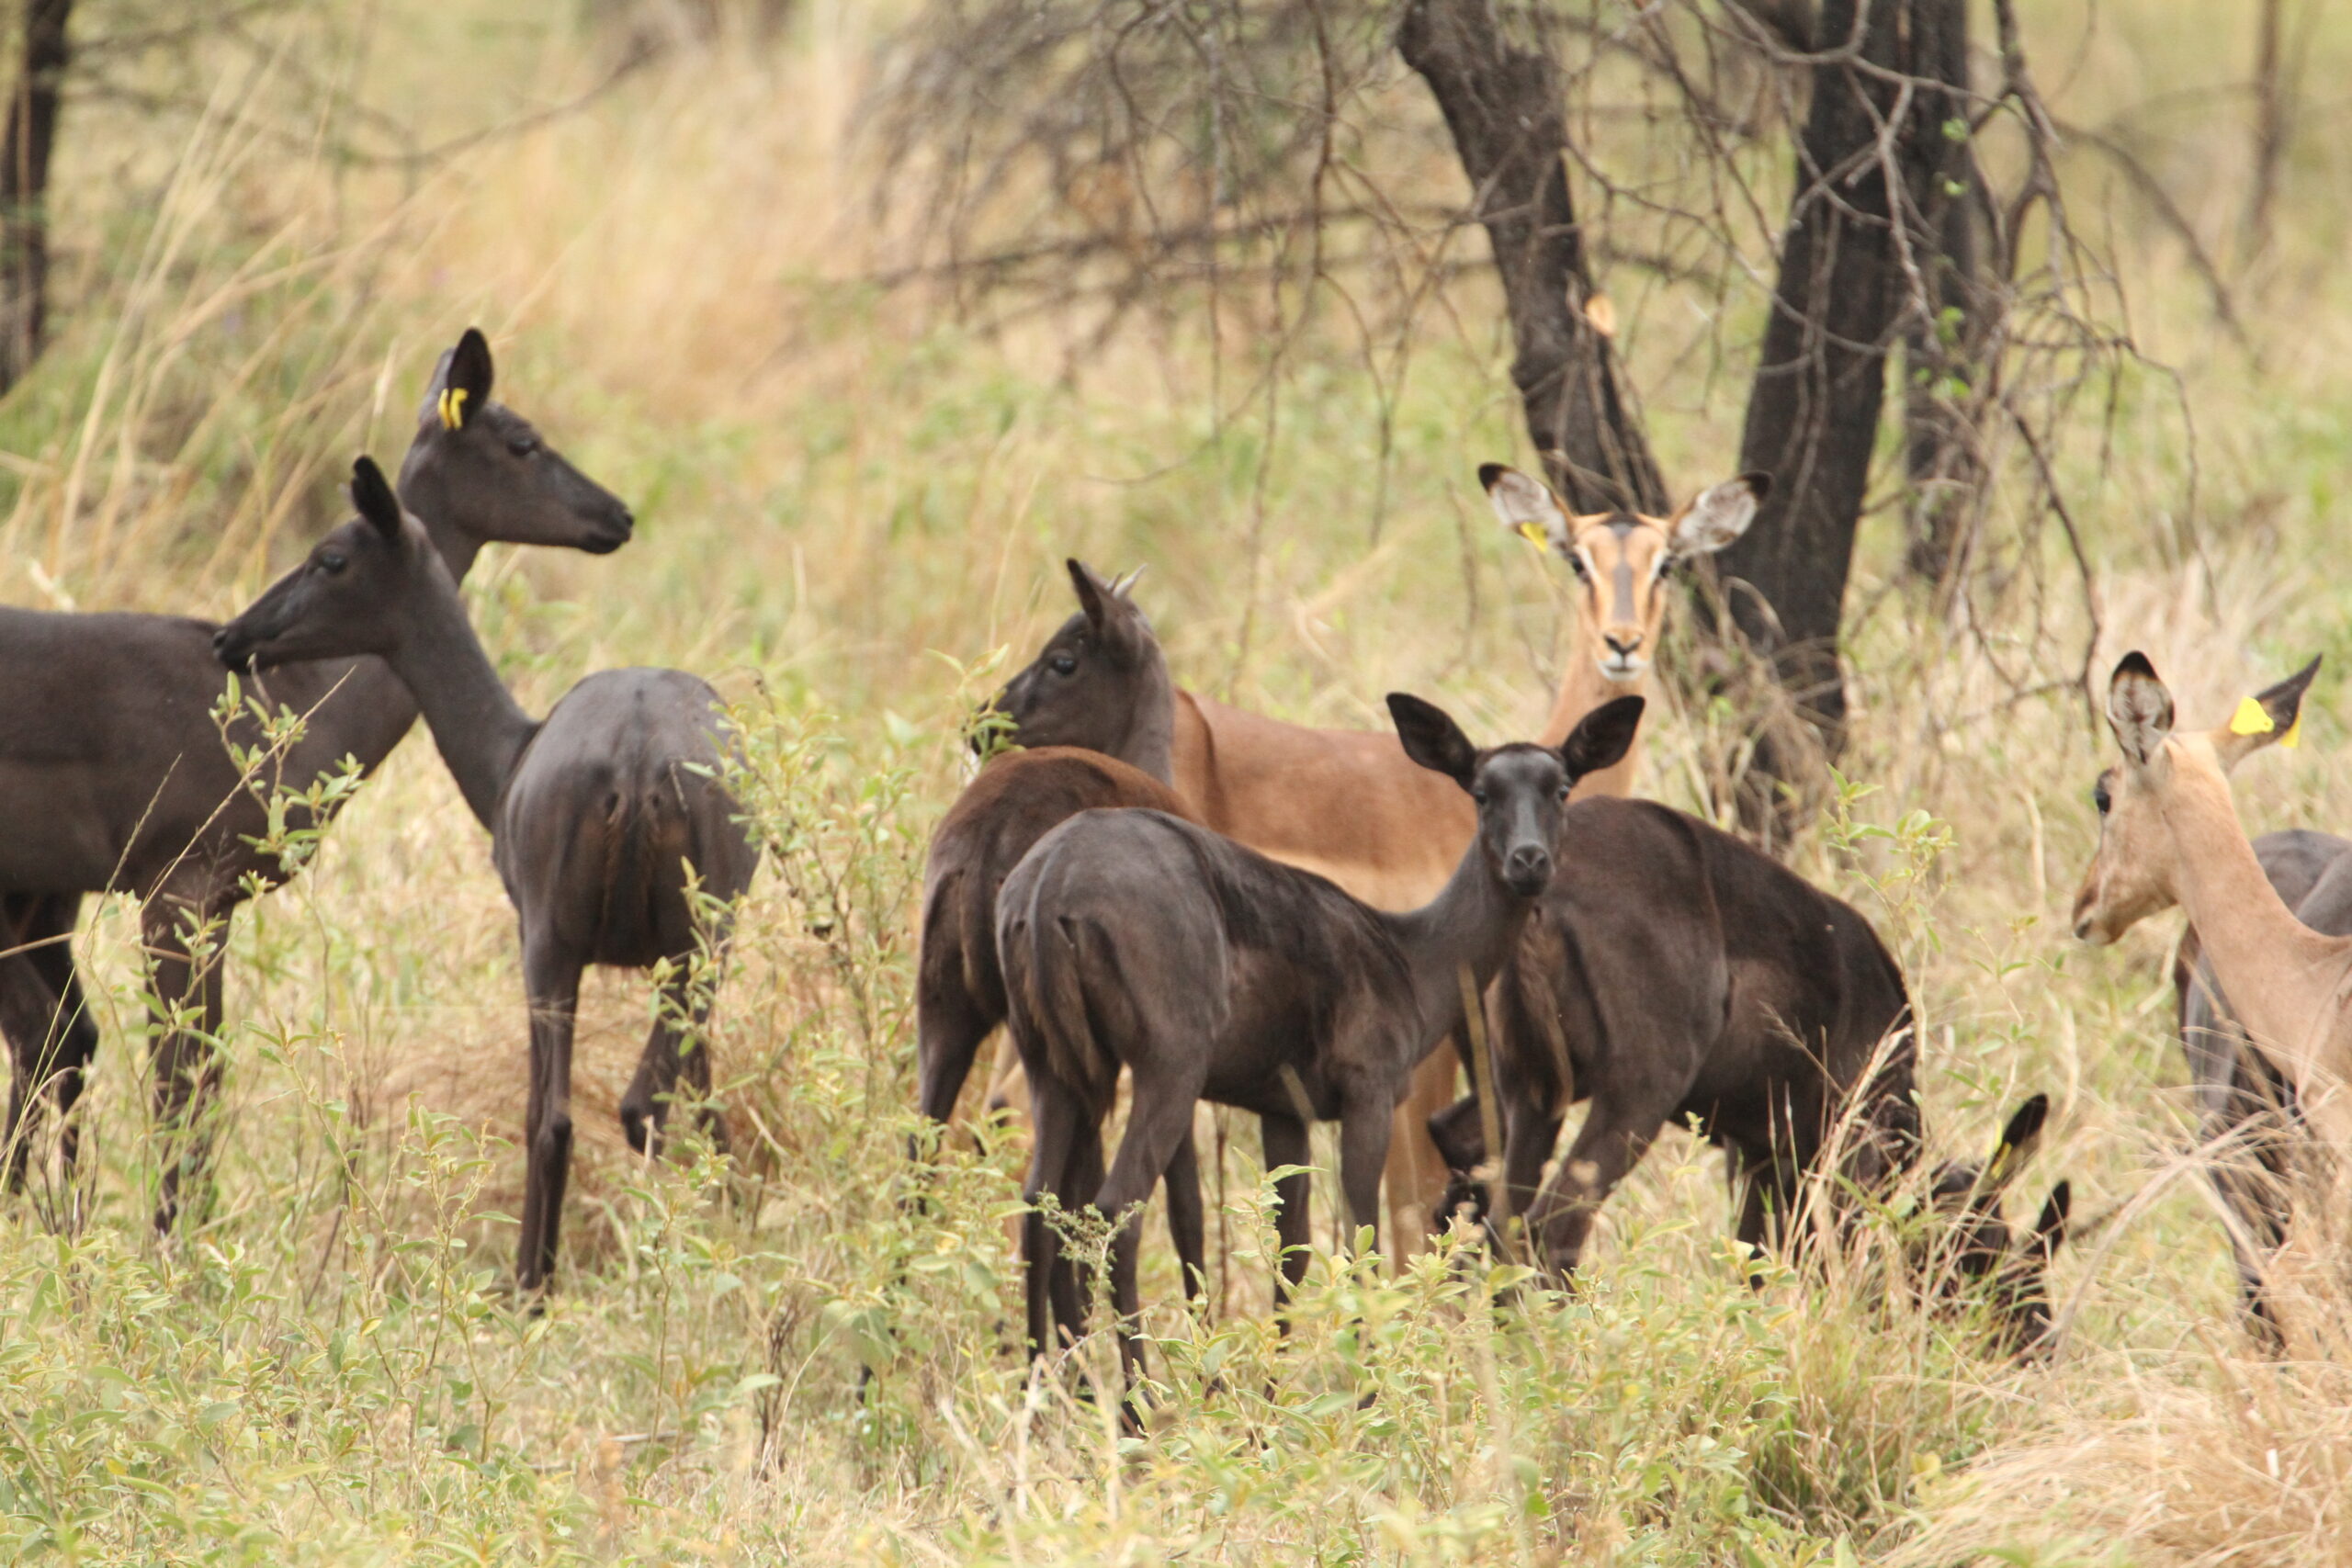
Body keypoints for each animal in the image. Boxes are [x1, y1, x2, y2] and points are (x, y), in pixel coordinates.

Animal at [0, 330, 632, 1223]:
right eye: (521, 440)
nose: (617, 515)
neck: (296, 707)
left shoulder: (202, 903)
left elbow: (196, 1070)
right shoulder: (174, 890)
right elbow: (183, 1078)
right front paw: (174, 1237)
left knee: (55, 1036)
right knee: (51, 1036)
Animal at [213, 456, 755, 1292]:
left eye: (330, 556)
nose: (232, 635)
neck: (510, 754)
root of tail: (637, 760)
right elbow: (705, 1088)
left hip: (555, 946)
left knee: (574, 1114)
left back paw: (537, 1284)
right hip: (702, 941)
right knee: (665, 1097)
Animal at [996, 693, 1643, 1382]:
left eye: (1561, 787)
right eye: (1481, 791)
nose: (1529, 860)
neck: (1412, 962)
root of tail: (1048, 885)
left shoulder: (1284, 1109)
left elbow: (1295, 1250)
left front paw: (1275, 1393)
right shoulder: (1369, 1093)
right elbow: (1363, 1243)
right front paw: (1362, 1393)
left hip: (1054, 1067)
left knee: (1038, 1199)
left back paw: (1048, 1392)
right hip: (1167, 1065)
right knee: (1118, 1206)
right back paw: (1139, 1400)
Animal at [1426, 795, 1919, 1280]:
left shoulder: (1758, 1152)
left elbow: (1755, 1256)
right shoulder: (1850, 1144)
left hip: (1533, 1097)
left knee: (1495, 1223)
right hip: (1636, 1099)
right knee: (1549, 1229)